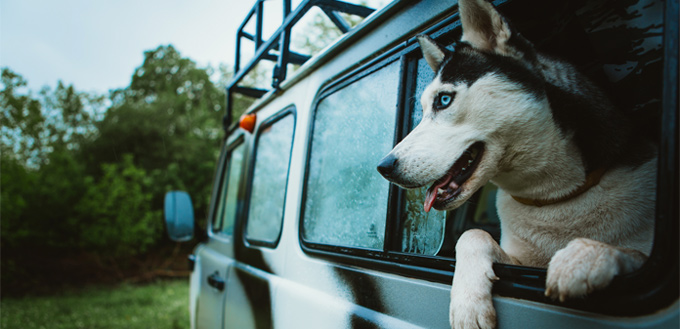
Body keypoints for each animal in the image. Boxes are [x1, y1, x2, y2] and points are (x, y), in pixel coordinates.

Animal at [378, 0, 660, 328]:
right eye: (422, 109)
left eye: (444, 100)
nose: (384, 167)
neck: (554, 198)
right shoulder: (519, 260)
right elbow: (473, 235)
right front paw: (468, 304)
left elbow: (633, 253)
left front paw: (587, 255)